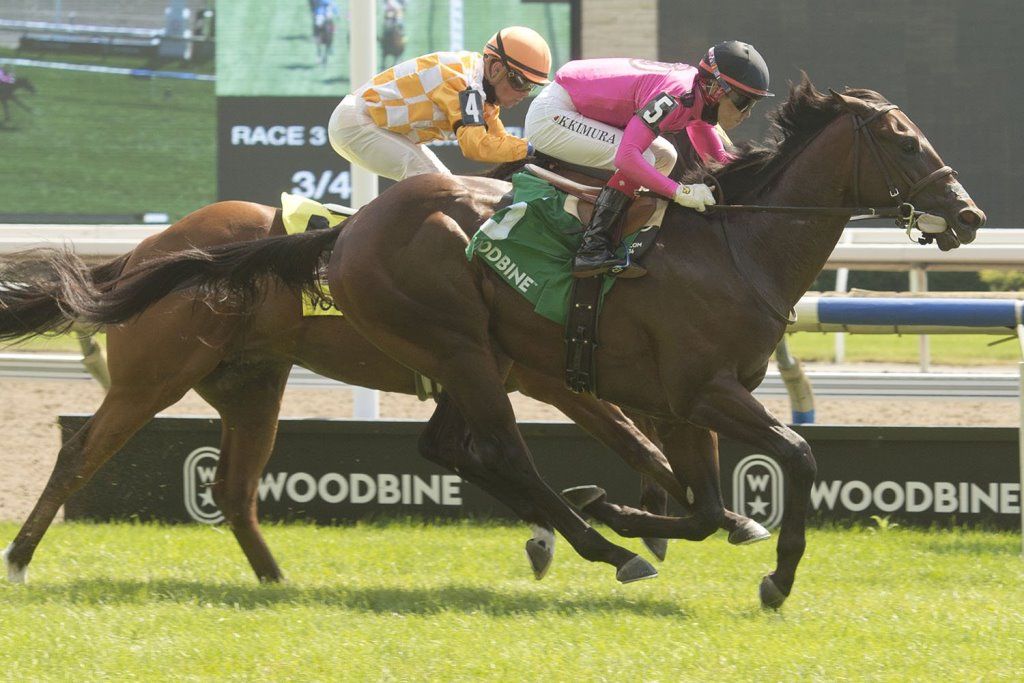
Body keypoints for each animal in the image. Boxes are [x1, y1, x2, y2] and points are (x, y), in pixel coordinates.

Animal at [0, 201, 767, 585]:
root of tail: (144, 251)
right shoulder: (542, 377)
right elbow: (632, 442)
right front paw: (647, 524)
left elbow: (637, 443)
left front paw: (669, 519)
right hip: (154, 375)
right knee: (79, 454)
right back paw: (18, 560)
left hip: (252, 384)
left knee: (233, 488)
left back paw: (277, 580)